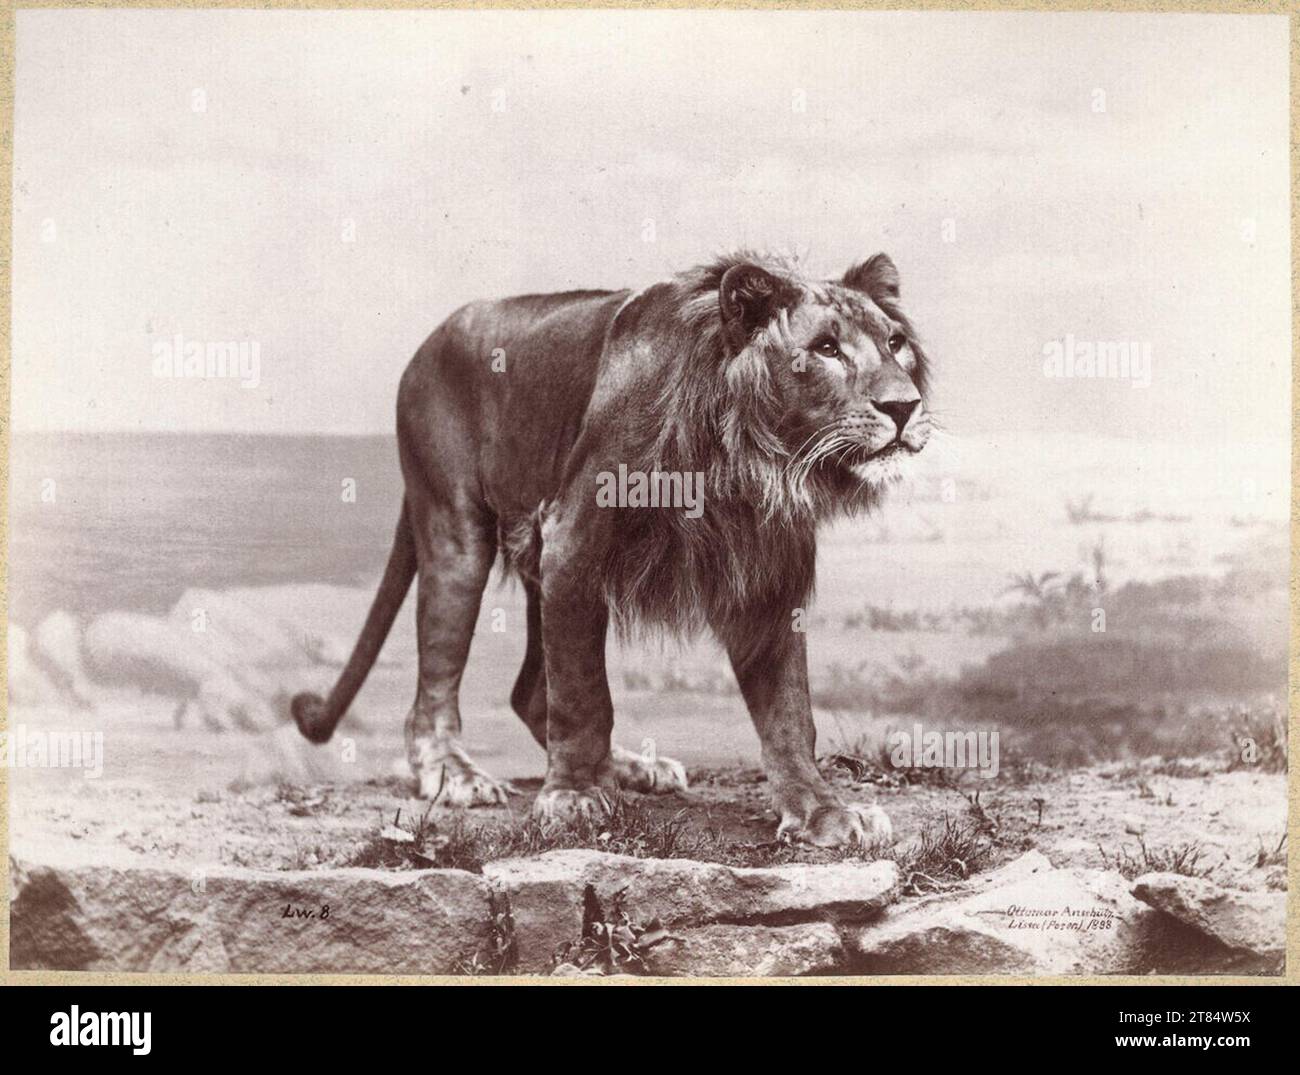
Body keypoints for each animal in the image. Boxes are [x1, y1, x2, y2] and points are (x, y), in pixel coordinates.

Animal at [292, 252, 932, 847]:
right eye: (825, 348)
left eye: (895, 343)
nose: (904, 408)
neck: (746, 456)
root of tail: (428, 343)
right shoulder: (573, 539)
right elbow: (584, 694)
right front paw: (574, 797)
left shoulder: (768, 579)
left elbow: (790, 715)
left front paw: (824, 812)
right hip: (457, 536)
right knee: (436, 690)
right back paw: (459, 777)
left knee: (530, 693)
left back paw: (632, 767)